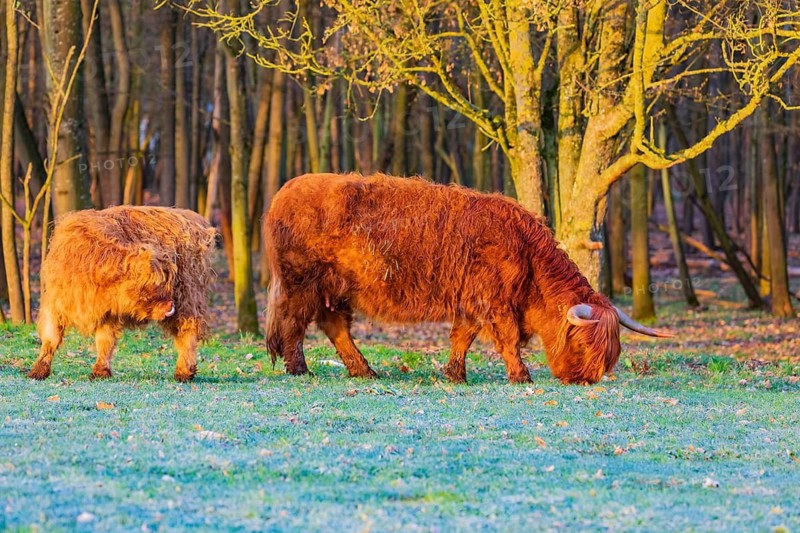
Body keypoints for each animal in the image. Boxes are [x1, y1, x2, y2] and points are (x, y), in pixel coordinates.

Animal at [28, 206, 217, 382]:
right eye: (147, 286)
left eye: (165, 282)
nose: (169, 305)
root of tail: (192, 218)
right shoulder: (56, 306)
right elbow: (51, 339)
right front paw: (38, 371)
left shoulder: (108, 314)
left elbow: (104, 341)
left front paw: (99, 372)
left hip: (188, 298)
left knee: (187, 332)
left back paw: (183, 372)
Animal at [263, 173, 672, 385]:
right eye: (587, 345)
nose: (586, 379)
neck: (527, 256)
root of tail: (284, 191)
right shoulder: (495, 301)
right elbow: (507, 339)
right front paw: (522, 376)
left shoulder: (472, 301)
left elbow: (463, 336)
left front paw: (455, 374)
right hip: (302, 282)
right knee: (294, 324)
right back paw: (300, 369)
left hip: (335, 288)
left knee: (334, 326)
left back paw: (365, 370)